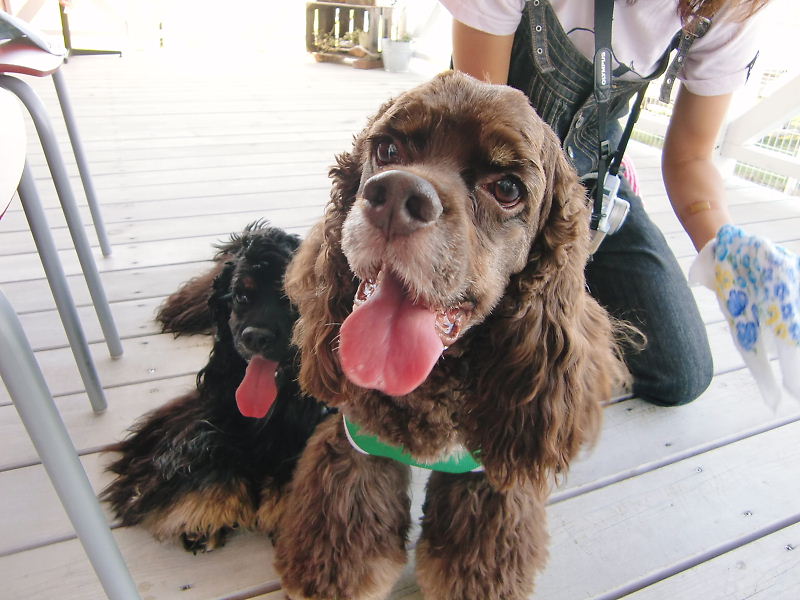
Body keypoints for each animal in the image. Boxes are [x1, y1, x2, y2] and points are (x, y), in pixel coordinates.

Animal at [101, 221, 330, 552]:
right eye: (242, 296)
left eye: (291, 299)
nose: (255, 337)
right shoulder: (209, 404)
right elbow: (204, 442)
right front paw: (203, 512)